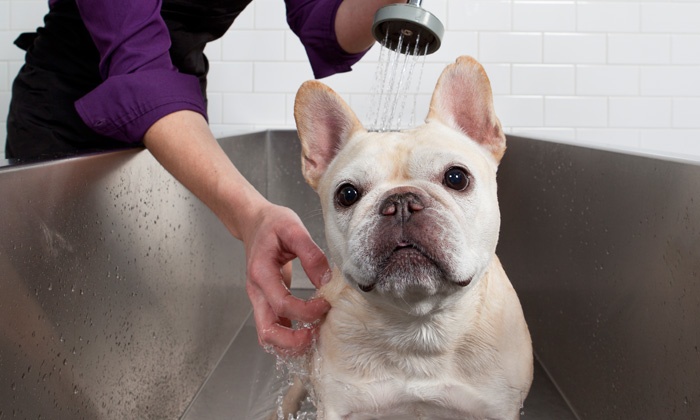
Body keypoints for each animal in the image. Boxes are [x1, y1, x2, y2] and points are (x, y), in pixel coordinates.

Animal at [282, 56, 532, 420]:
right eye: (347, 194)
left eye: (457, 178)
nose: (399, 201)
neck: (419, 325)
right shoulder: (336, 407)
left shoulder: (499, 408)